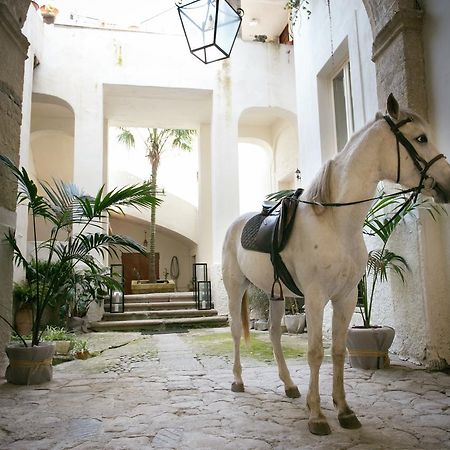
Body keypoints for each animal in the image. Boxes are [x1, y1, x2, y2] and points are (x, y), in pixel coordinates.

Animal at [221, 95, 450, 436]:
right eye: (421, 138)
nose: (448, 183)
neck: (335, 222)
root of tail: (236, 225)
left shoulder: (344, 298)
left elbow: (339, 352)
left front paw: (343, 410)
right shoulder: (316, 299)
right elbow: (316, 353)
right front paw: (317, 416)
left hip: (276, 295)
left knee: (274, 335)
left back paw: (289, 385)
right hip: (236, 289)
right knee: (236, 331)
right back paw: (237, 381)